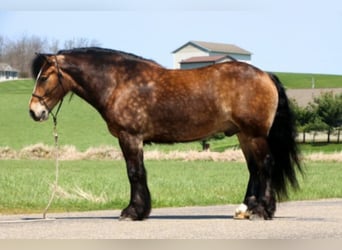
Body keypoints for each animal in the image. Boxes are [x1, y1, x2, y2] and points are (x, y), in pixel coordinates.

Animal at [29, 47, 302, 221]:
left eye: (44, 77)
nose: (34, 111)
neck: (119, 83)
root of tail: (265, 75)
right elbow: (138, 173)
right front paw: (140, 210)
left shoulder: (130, 137)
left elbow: (134, 173)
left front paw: (133, 212)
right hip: (244, 135)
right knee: (254, 169)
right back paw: (246, 209)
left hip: (255, 135)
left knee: (265, 166)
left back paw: (262, 211)